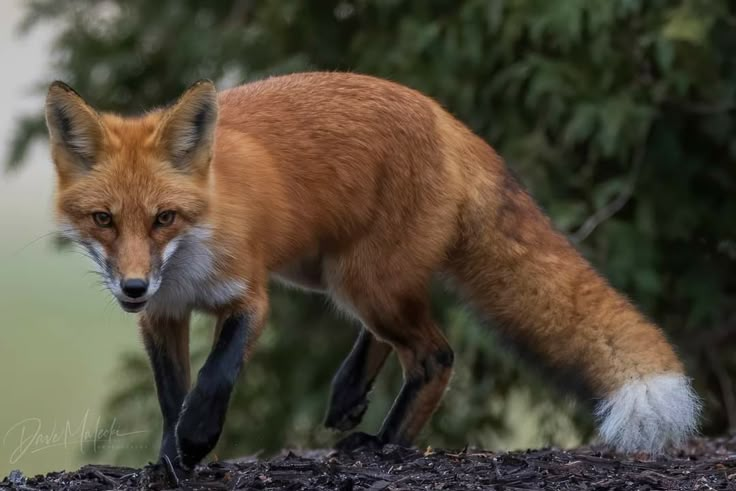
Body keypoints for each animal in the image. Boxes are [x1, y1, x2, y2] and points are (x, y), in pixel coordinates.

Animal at [43, 72, 700, 468]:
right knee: (395, 339)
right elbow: (170, 392)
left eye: (164, 218)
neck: (187, 262)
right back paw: (351, 394)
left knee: (435, 354)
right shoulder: (161, 315)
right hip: (326, 271)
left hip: (361, 281)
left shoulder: (250, 294)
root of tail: (443, 116)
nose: (132, 285)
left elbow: (216, 374)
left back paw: (387, 444)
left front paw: (199, 435)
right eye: (103, 219)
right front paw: (172, 456)